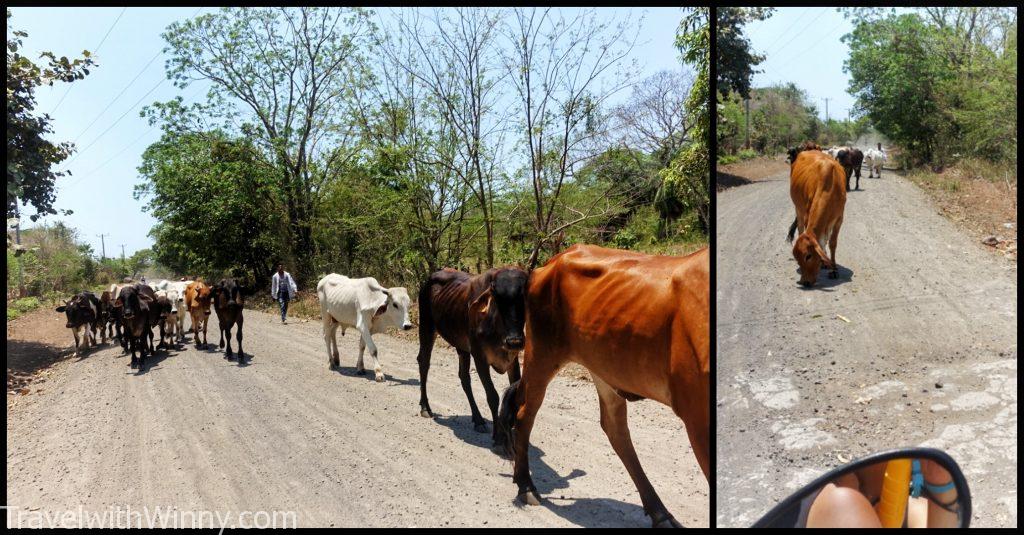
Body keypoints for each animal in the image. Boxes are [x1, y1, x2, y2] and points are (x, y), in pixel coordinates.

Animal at [497, 244, 712, 524]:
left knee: (615, 429)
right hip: (541, 355)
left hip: (601, 369)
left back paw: (659, 513)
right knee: (524, 414)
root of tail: (551, 262)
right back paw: (526, 486)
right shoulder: (697, 418)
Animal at [782, 147, 847, 284]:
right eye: (797, 258)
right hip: (798, 209)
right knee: (800, 229)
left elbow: (832, 243)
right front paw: (825, 263)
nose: (804, 282)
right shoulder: (807, 216)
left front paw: (833, 269)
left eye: (808, 256)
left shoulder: (839, 219)